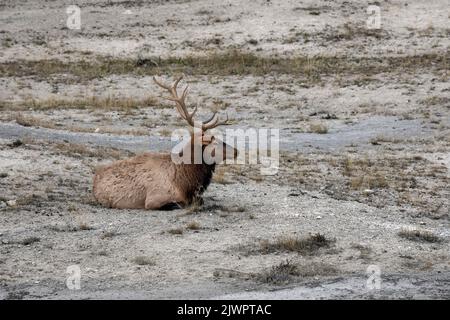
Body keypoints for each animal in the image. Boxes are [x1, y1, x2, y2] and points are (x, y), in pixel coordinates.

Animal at [92, 75, 237, 210]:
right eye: (214, 141)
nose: (236, 151)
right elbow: (182, 203)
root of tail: (94, 183)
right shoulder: (154, 199)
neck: (184, 183)